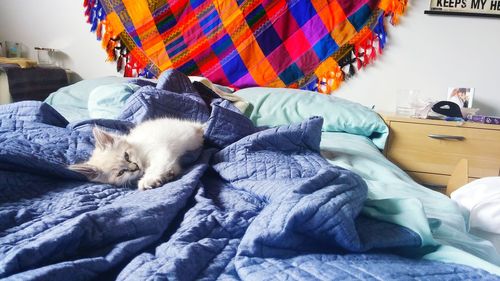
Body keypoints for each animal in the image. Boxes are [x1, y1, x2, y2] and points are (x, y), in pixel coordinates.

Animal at [69, 117, 204, 189]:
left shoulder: (161, 152)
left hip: (191, 139)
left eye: (126, 156)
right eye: (121, 172)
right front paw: (168, 175)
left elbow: (156, 166)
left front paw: (147, 180)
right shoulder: (170, 159)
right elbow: (172, 166)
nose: (135, 167)